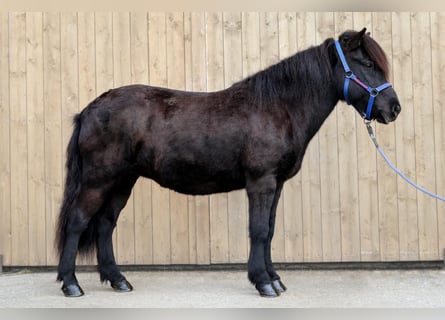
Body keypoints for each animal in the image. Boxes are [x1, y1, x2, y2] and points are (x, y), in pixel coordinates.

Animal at [54, 28, 398, 298]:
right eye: (367, 64)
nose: (393, 108)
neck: (278, 107)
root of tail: (89, 109)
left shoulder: (276, 185)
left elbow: (270, 230)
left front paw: (274, 279)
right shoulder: (261, 182)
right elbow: (258, 230)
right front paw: (263, 283)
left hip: (122, 181)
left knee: (104, 224)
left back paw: (118, 280)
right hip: (98, 180)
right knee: (78, 221)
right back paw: (71, 284)